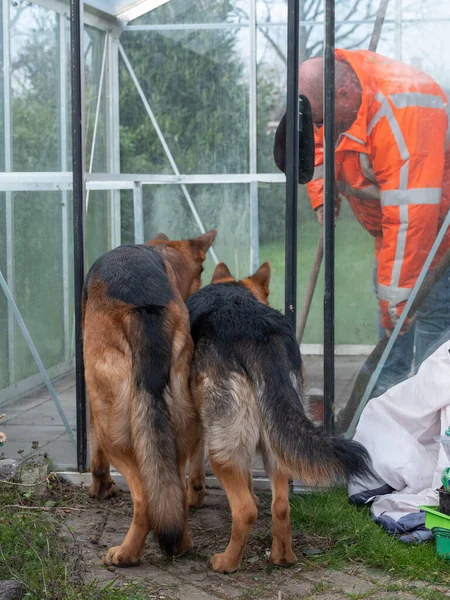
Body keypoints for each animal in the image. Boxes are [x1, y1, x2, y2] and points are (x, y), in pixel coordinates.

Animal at [82, 231, 216, 568]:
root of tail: (141, 305)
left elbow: (95, 454)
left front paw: (100, 487)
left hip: (115, 431)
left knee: (143, 498)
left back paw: (127, 552)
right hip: (179, 425)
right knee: (173, 491)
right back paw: (180, 543)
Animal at [185, 262, 370, 572]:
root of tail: (257, 329)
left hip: (224, 449)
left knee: (245, 510)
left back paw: (227, 562)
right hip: (278, 445)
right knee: (281, 505)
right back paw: (282, 557)